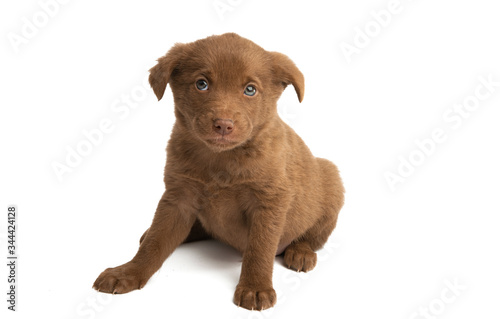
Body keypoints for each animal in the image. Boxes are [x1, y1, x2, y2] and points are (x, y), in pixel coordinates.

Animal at [93, 33, 344, 312]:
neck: (221, 160)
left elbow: (260, 248)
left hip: (331, 178)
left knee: (313, 237)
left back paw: (300, 252)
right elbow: (155, 241)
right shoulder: (178, 196)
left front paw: (255, 288)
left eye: (250, 89)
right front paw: (128, 272)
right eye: (201, 84)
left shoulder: (270, 201)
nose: (224, 124)